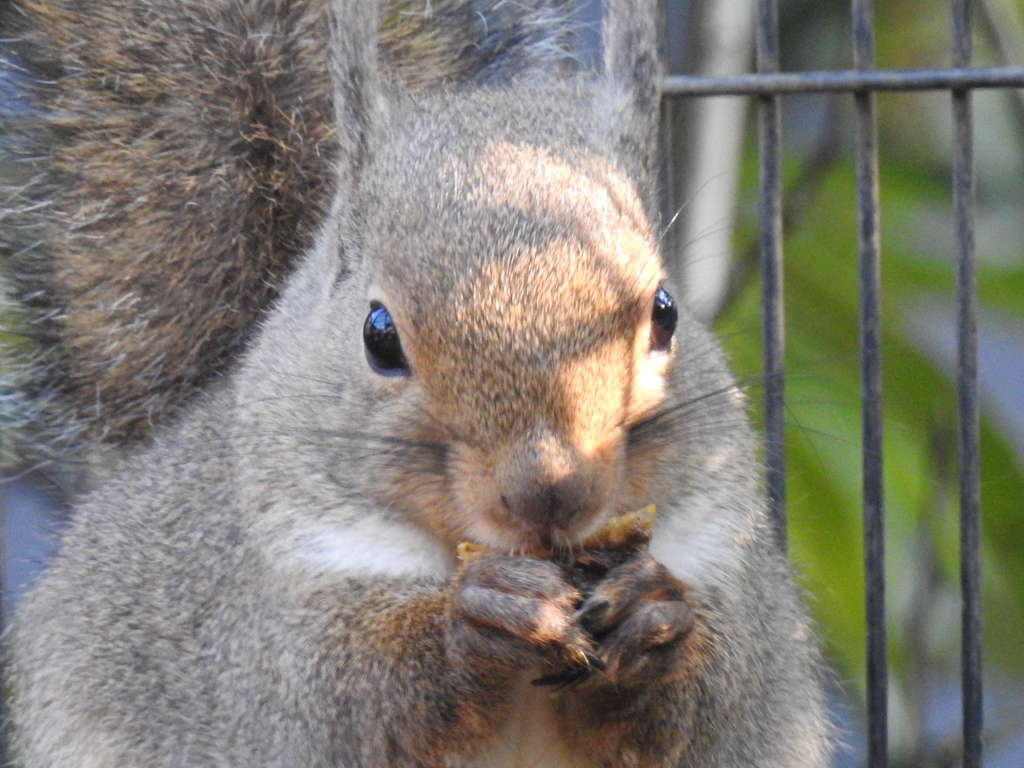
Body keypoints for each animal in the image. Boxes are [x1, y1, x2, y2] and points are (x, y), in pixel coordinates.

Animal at [2, 1, 831, 768]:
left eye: (666, 311)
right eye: (378, 335)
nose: (551, 490)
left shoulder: (730, 560)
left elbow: (717, 699)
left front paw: (652, 615)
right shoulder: (263, 621)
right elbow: (339, 697)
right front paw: (477, 619)